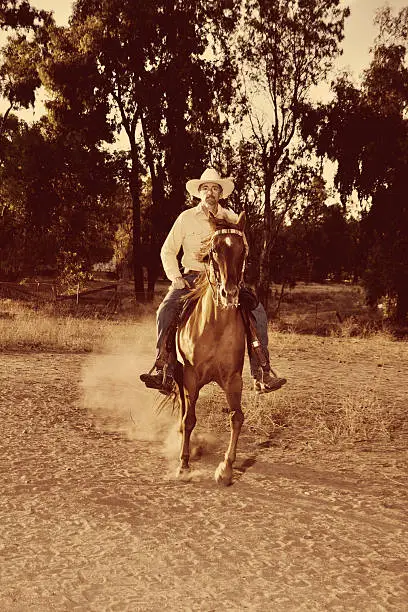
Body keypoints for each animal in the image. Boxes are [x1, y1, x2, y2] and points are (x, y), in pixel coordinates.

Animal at [174, 208, 247, 486]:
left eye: (243, 250)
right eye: (214, 250)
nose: (230, 293)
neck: (214, 326)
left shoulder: (233, 378)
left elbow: (236, 417)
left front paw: (226, 468)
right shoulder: (190, 375)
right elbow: (190, 418)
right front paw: (183, 464)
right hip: (177, 374)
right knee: (184, 407)